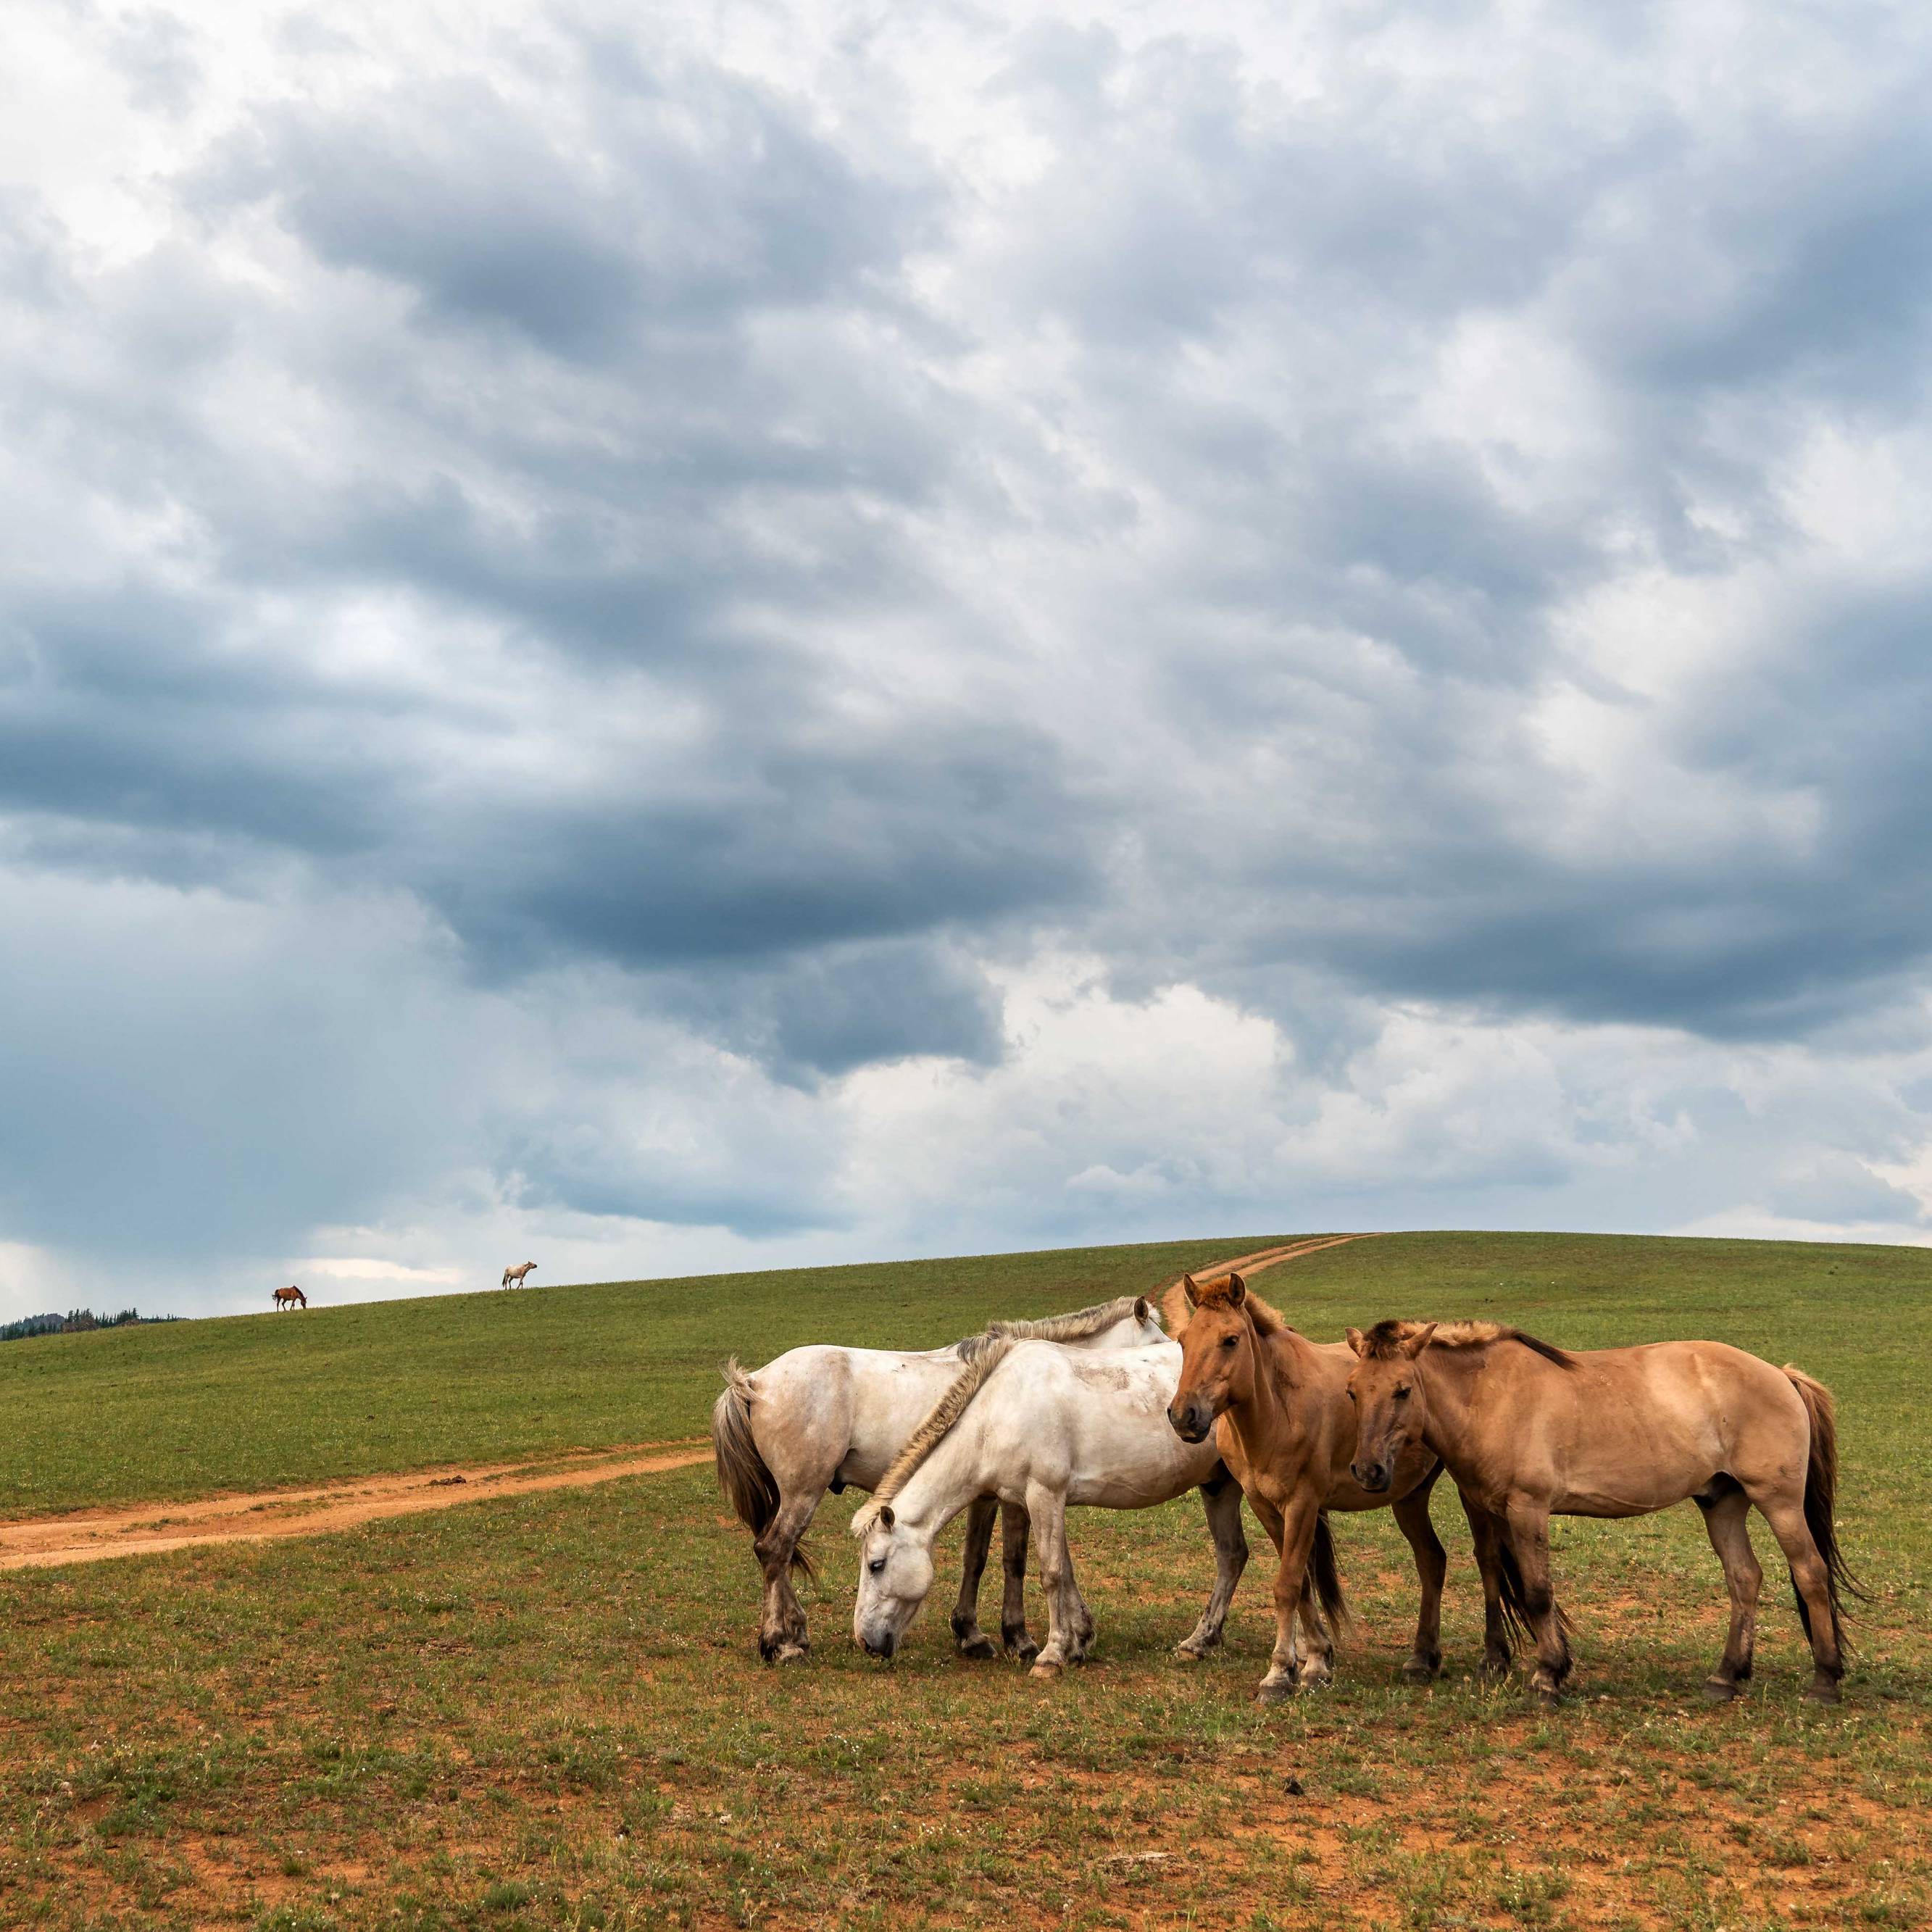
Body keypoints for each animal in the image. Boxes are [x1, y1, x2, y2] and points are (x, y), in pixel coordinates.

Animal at [850, 1332, 1270, 1680]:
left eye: (876, 1565)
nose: (866, 1642)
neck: (999, 1412)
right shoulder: (1026, 1500)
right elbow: (1056, 1570)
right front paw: (1077, 1642)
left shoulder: (1045, 1495)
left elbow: (1051, 1573)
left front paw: (1051, 1656)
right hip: (1219, 1487)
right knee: (1232, 1556)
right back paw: (1200, 1642)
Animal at [1165, 1270, 1457, 1704]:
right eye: (1183, 1341)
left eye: (1230, 1340)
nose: (1185, 1415)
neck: (1278, 1410)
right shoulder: (1265, 1505)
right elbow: (1302, 1583)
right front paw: (1316, 1660)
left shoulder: (1302, 1504)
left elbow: (1287, 1585)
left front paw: (1279, 1675)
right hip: (1409, 1497)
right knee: (1431, 1560)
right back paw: (1423, 1659)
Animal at [1345, 1319, 1861, 1705]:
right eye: (1352, 1391)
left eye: (1402, 1390)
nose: (1367, 1470)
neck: (1491, 1395)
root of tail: (1781, 1374)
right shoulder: (1490, 1509)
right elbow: (1498, 1575)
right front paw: (1515, 1663)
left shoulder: (1528, 1509)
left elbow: (1537, 1593)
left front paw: (1548, 1677)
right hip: (1723, 1502)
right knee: (1744, 1578)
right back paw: (1727, 1676)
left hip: (1778, 1502)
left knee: (1810, 1573)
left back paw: (1824, 1681)